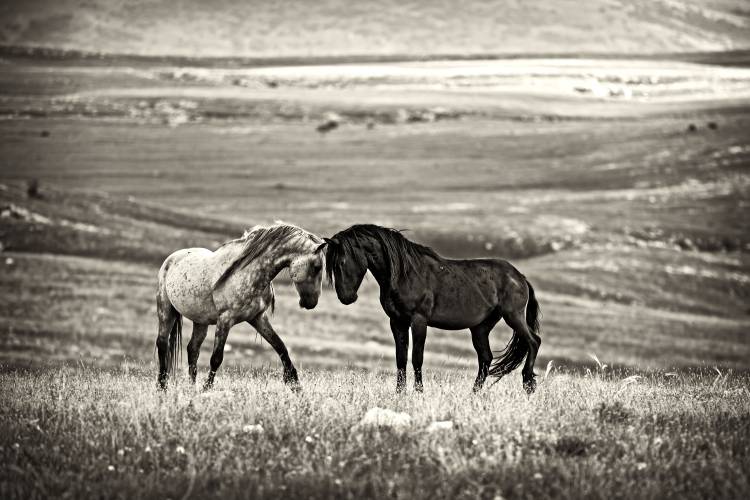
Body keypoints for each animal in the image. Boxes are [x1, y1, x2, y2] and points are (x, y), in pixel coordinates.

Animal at [156, 223, 326, 390]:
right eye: (317, 267)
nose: (312, 302)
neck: (247, 273)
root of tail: (172, 258)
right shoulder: (225, 320)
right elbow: (216, 358)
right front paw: (207, 389)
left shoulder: (258, 318)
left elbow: (281, 347)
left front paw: (295, 384)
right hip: (166, 310)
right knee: (162, 343)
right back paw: (162, 387)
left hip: (200, 321)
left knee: (193, 349)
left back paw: (192, 388)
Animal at [324, 225, 540, 392]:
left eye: (341, 262)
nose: (346, 298)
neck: (404, 274)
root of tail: (519, 277)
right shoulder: (397, 322)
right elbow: (400, 359)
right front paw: (400, 393)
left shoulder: (419, 321)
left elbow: (416, 358)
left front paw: (419, 392)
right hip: (480, 327)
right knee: (486, 358)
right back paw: (474, 394)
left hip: (513, 316)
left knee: (533, 341)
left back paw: (528, 383)